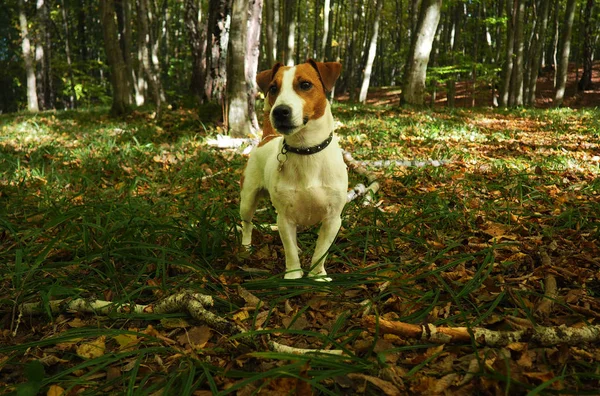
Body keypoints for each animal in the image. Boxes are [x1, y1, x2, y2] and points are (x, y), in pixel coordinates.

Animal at [240, 59, 346, 282]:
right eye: (273, 88)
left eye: (305, 85)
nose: (279, 111)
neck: (306, 151)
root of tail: (267, 138)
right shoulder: (285, 218)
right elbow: (288, 249)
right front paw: (293, 276)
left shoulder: (333, 219)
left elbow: (321, 251)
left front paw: (317, 276)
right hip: (247, 199)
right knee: (247, 223)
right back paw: (245, 247)